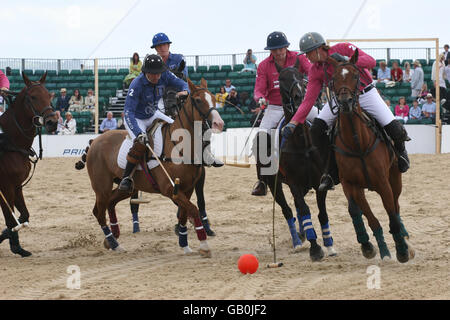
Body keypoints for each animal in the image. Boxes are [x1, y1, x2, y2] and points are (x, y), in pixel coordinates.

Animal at [0, 71, 58, 256]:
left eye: (49, 95)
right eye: (33, 97)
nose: (52, 122)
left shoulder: (17, 185)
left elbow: (23, 216)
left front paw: (14, 243)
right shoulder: (5, 187)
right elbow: (11, 220)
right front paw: (15, 246)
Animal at [77, 79, 225, 256]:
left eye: (214, 99)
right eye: (198, 100)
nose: (218, 123)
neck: (180, 145)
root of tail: (94, 141)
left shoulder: (187, 188)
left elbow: (184, 214)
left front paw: (185, 245)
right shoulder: (170, 189)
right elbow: (193, 209)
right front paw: (203, 244)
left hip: (126, 188)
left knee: (110, 203)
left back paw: (112, 238)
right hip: (101, 186)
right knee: (98, 212)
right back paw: (114, 243)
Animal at [256, 61, 338, 262]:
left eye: (301, 76)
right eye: (281, 79)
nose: (299, 96)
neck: (302, 143)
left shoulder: (318, 182)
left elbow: (321, 213)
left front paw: (329, 244)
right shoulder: (292, 181)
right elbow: (304, 209)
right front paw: (315, 248)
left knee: (297, 208)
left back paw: (302, 234)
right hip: (275, 184)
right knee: (288, 210)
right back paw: (297, 241)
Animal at [326, 48, 414, 262]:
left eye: (355, 75)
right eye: (333, 78)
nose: (345, 102)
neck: (357, 143)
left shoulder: (383, 182)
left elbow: (392, 215)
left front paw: (401, 250)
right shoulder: (352, 185)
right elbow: (369, 218)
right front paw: (377, 249)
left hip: (395, 177)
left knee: (396, 207)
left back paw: (405, 240)